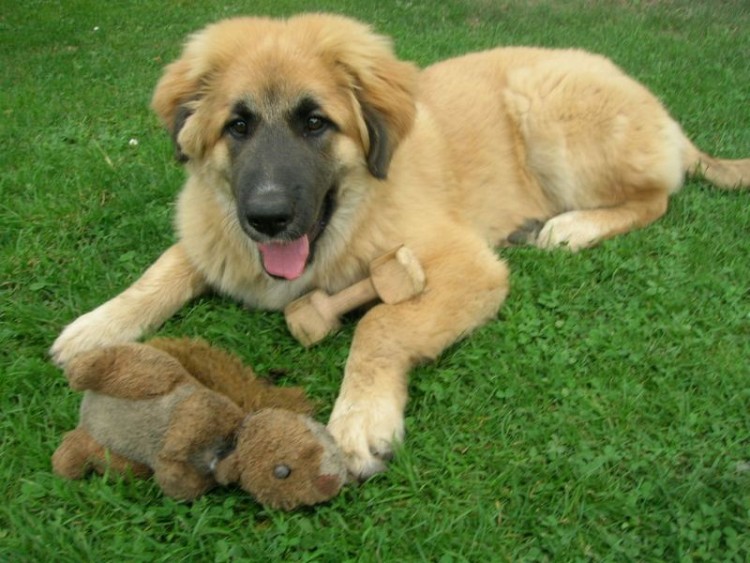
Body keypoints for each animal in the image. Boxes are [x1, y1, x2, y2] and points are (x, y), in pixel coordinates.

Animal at [50, 13, 748, 480]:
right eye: (238, 126)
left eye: (315, 122)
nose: (268, 219)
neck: (350, 216)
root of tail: (657, 108)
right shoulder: (215, 237)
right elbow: (166, 265)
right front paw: (98, 327)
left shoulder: (464, 263)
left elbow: (381, 322)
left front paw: (361, 420)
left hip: (549, 112)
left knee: (657, 197)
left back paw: (572, 227)